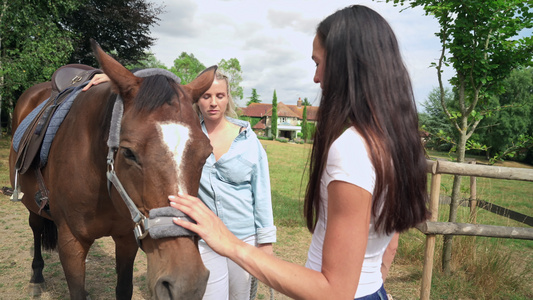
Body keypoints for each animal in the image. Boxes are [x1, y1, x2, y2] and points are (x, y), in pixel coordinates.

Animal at [7, 40, 212, 300]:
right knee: (35, 227)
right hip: (30, 203)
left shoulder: (126, 239)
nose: (186, 284)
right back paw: (36, 277)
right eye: (128, 152)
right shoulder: (71, 243)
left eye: (206, 153)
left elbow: (124, 288)